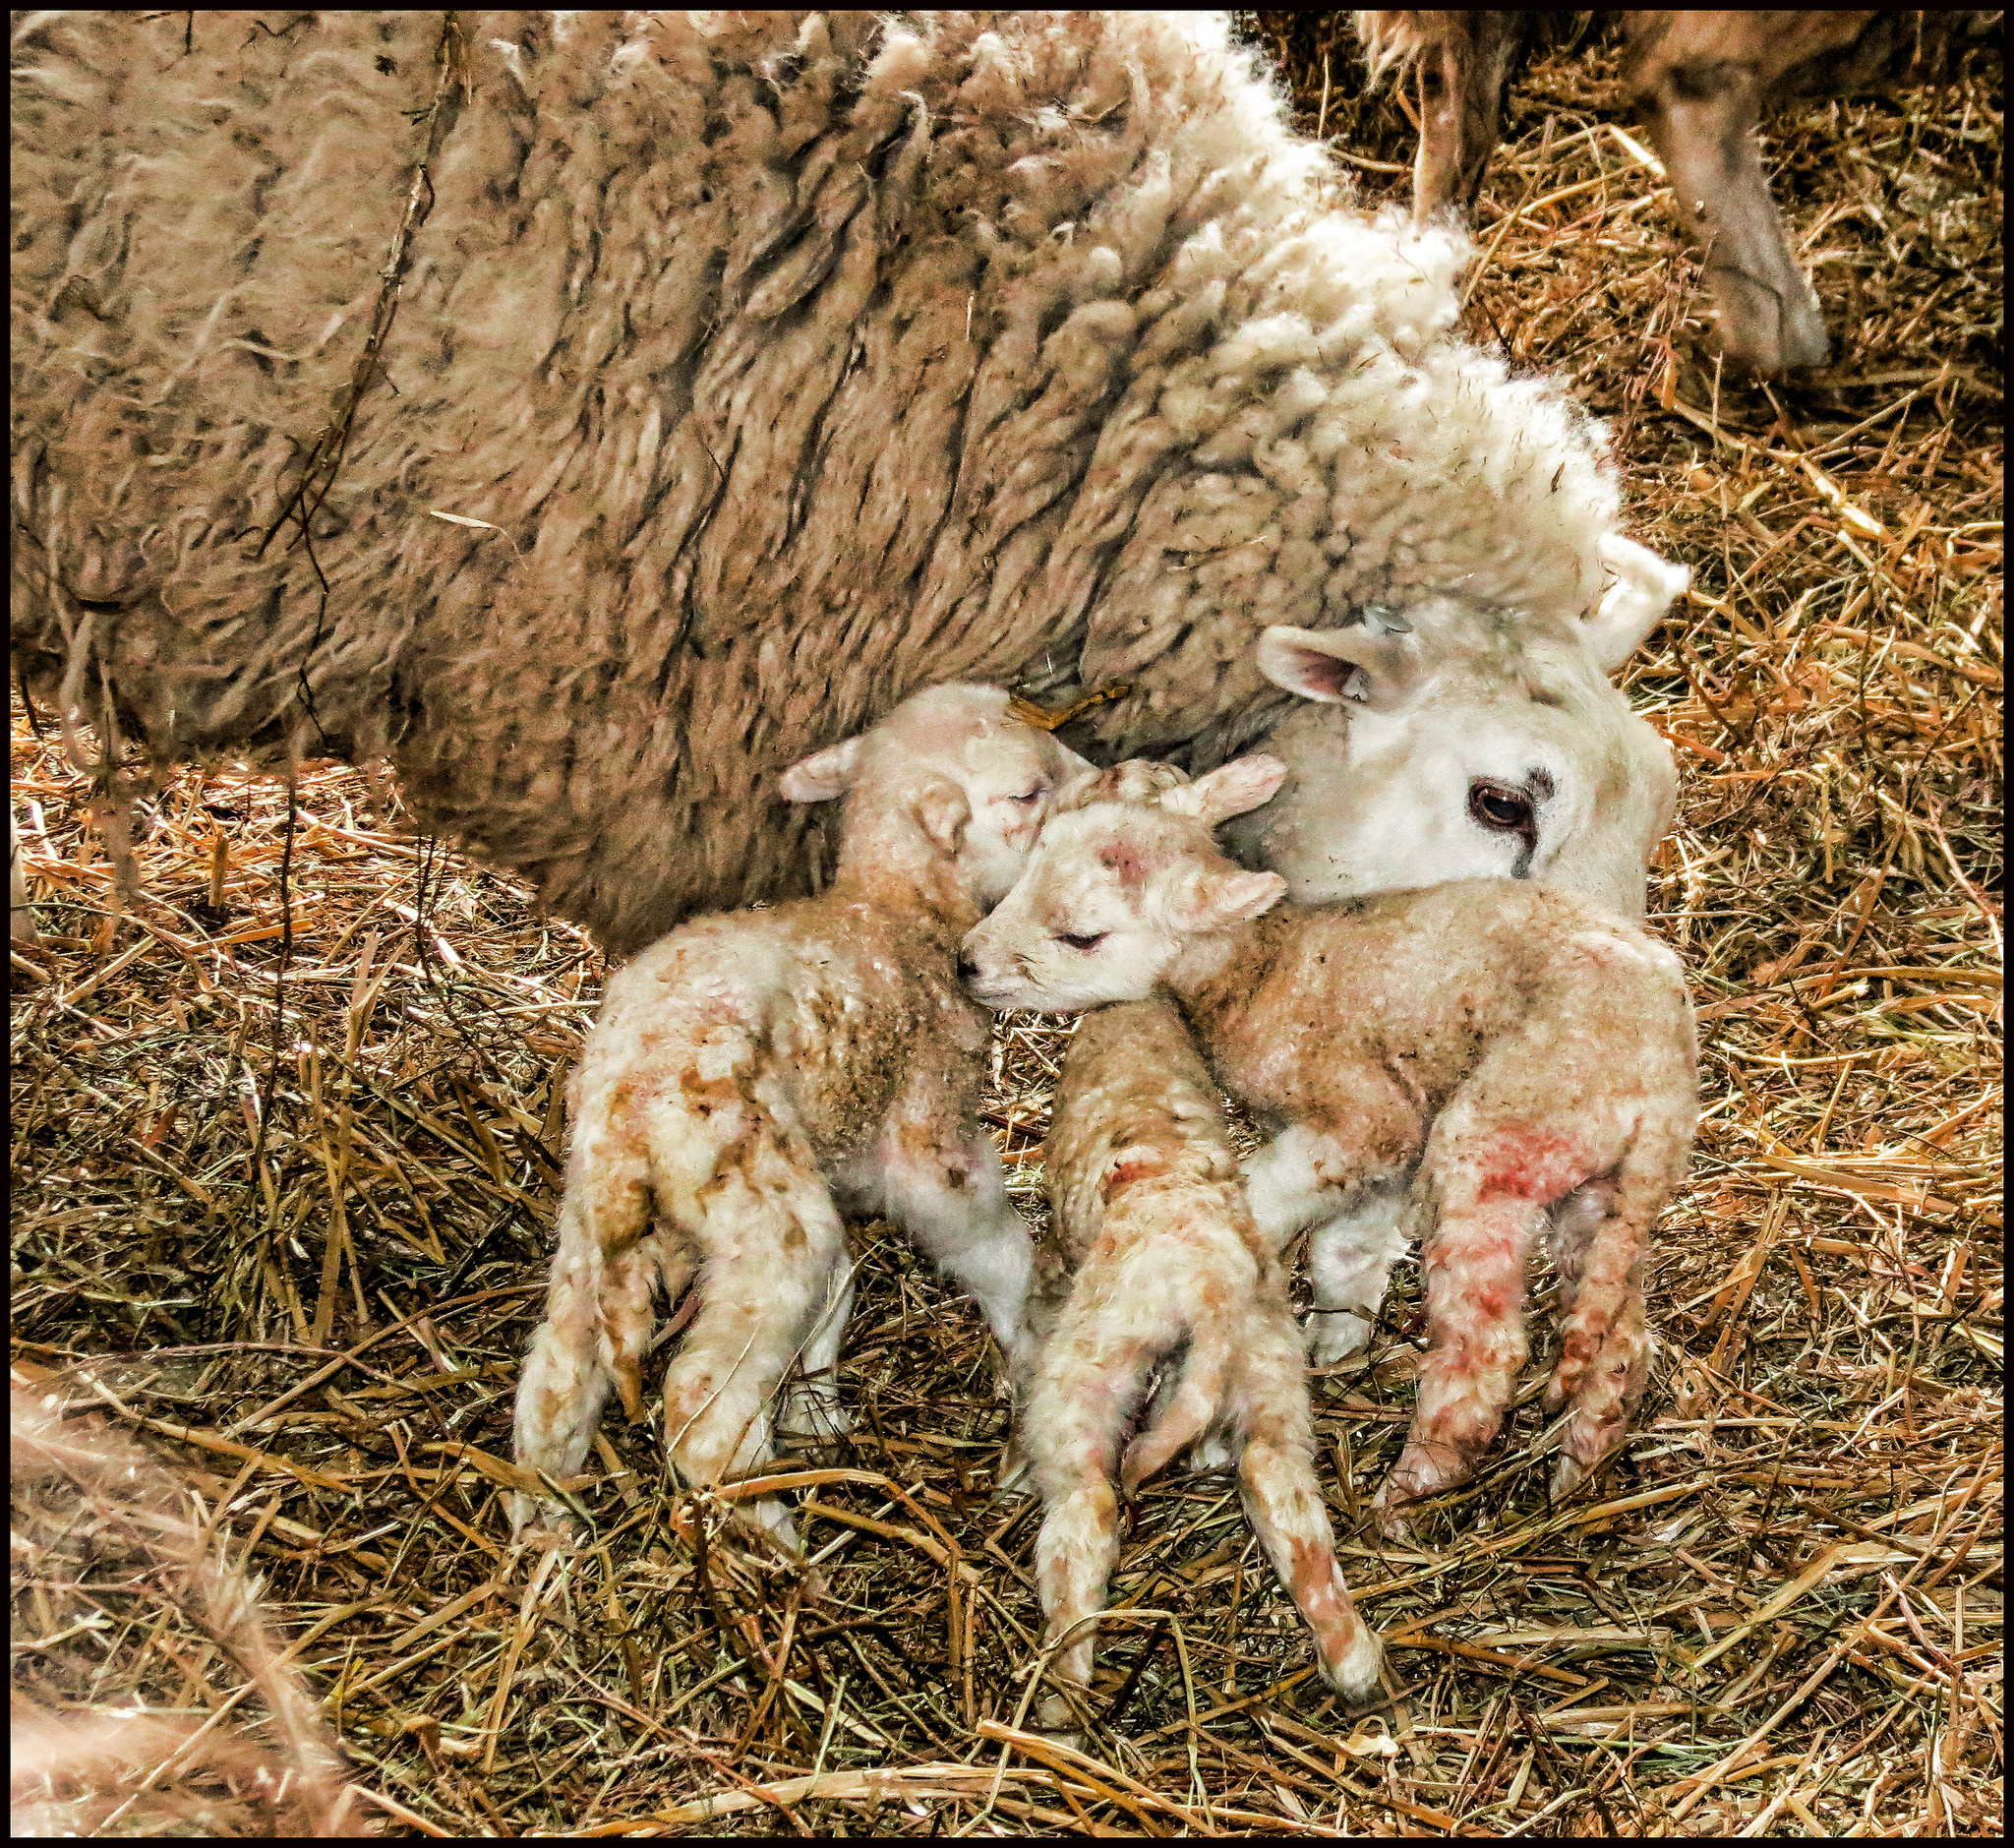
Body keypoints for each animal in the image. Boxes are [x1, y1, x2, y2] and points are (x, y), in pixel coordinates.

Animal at [510, 685, 1089, 1548]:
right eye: (1027, 792)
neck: (894, 909)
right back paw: (775, 1535)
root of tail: (631, 1104)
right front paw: (1028, 1327)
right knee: (700, 1398)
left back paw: (543, 1528)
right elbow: (985, 1240)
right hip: (765, 1213)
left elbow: (840, 1289)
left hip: (587, 1217)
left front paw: (817, 1409)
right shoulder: (929, 1137)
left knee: (555, 1373)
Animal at [961, 757, 1698, 1532]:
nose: (965, 965)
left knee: (1487, 1345)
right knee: (1619, 1330)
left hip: (1500, 1132)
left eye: (1082, 936)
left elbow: (1270, 1197)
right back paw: (1581, 1464)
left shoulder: (1368, 1116)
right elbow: (1348, 1243)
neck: (1260, 970)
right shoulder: (1391, 1146)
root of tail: (1666, 1080)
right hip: (1594, 1177)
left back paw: (1412, 1485)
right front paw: (1337, 1337)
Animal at [1024, 993, 1384, 1729]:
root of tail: (1210, 1290)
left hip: (1086, 1372)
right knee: (1280, 1488)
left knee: (1085, 1507)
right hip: (1270, 1363)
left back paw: (1059, 1697)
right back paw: (1353, 1660)